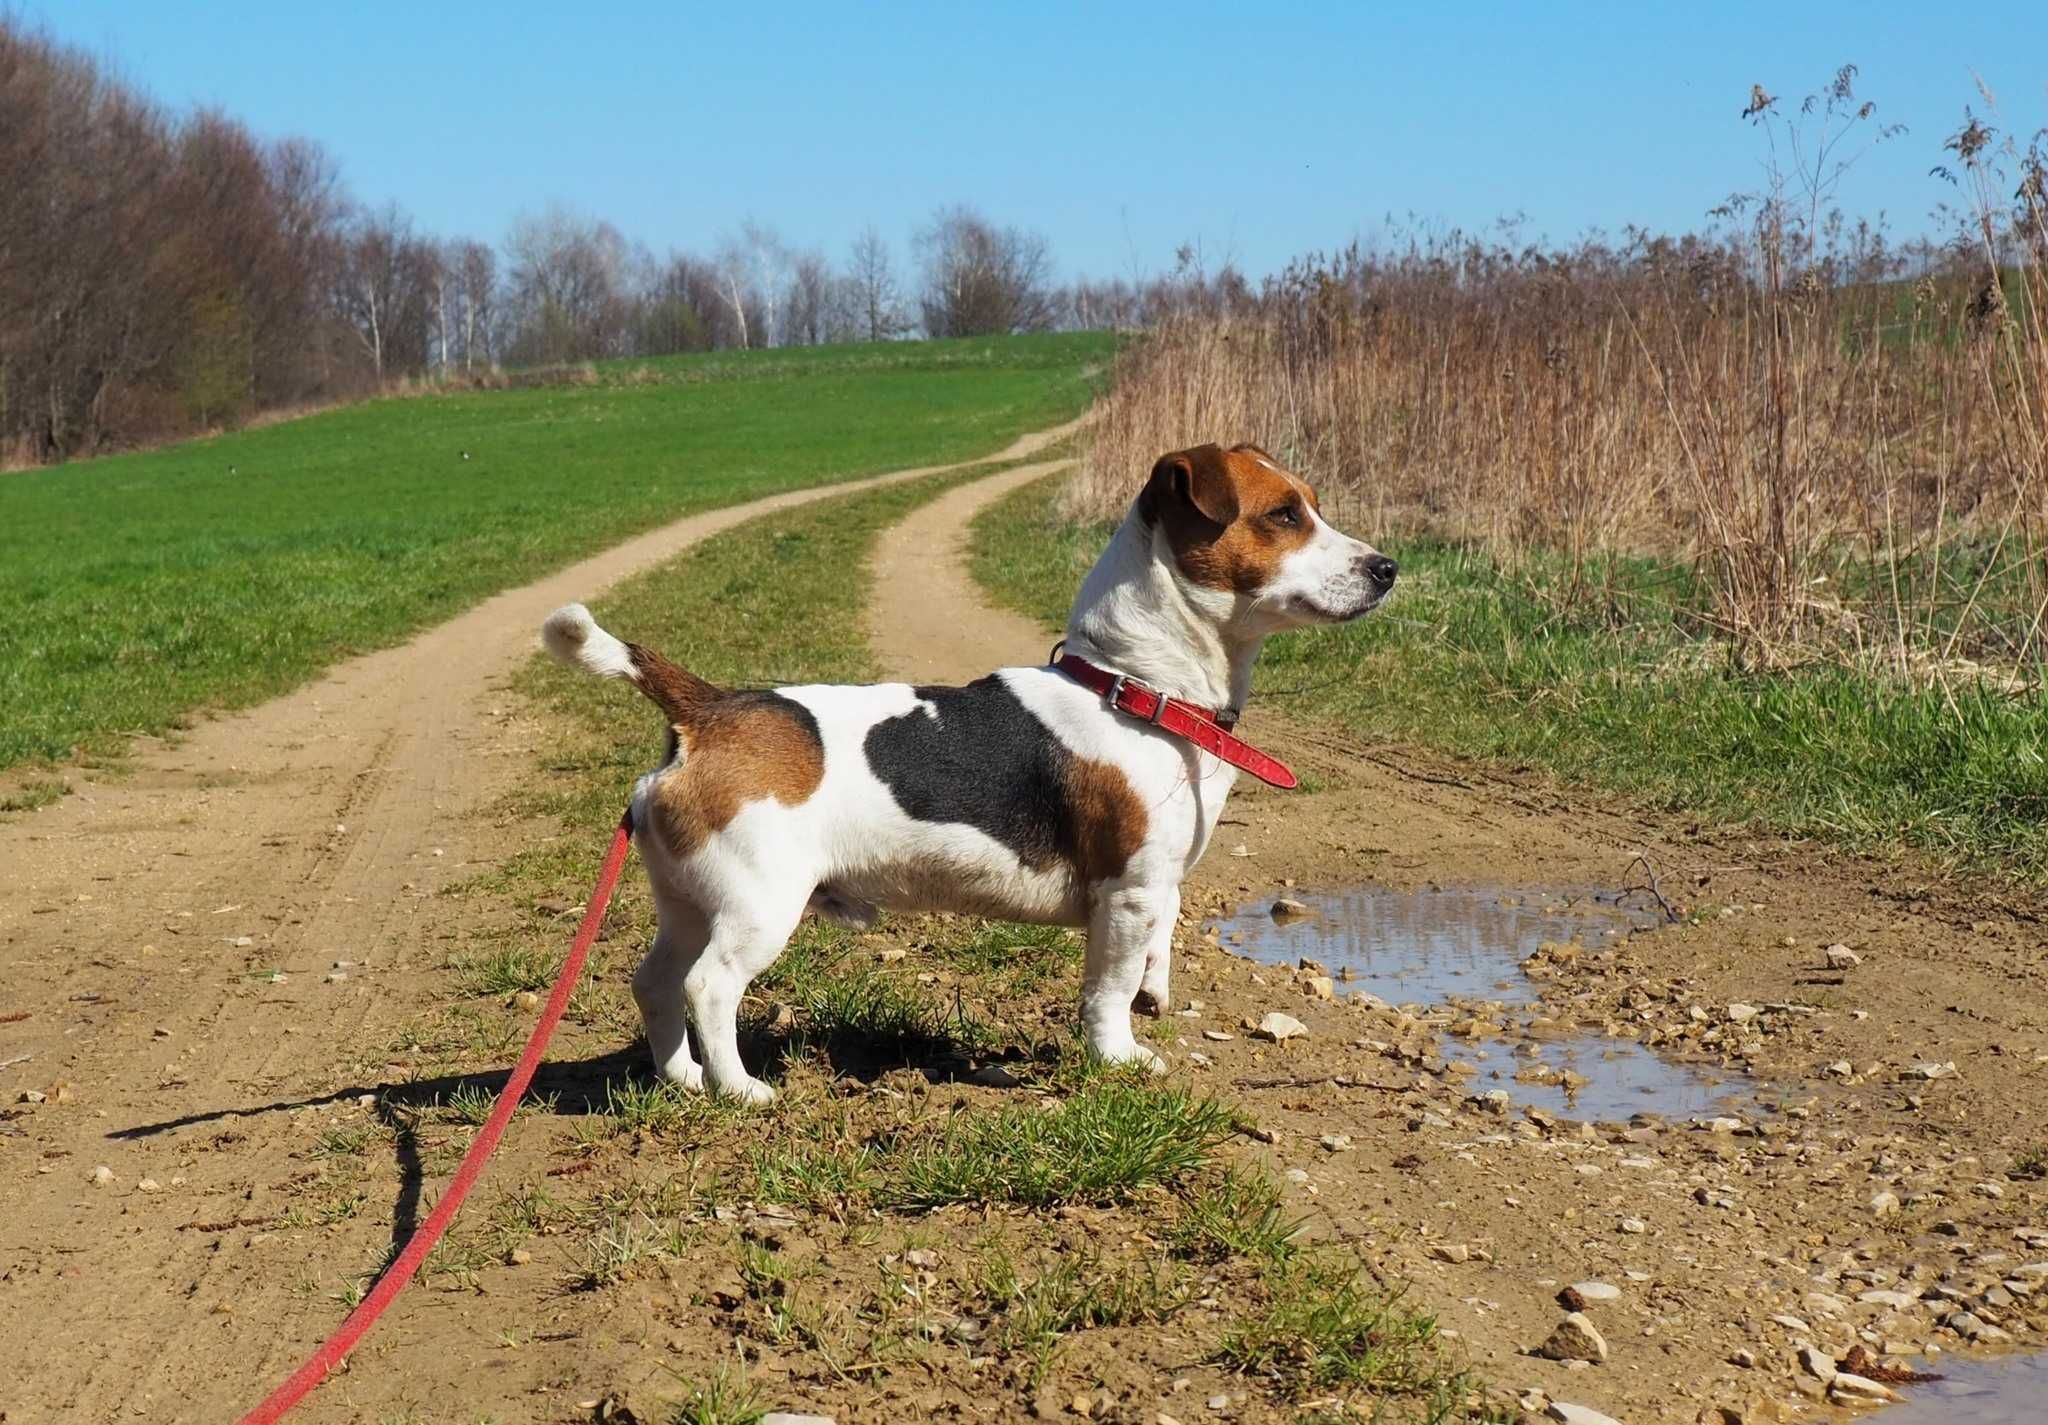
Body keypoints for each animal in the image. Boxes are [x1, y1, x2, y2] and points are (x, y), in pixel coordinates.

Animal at [548, 446, 1392, 1105]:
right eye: (1283, 515)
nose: (1389, 567)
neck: (1139, 688)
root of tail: (710, 708)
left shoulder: (1159, 885)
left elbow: (1157, 952)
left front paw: (1155, 995)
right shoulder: (1128, 892)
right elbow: (1110, 988)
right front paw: (1119, 1057)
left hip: (689, 900)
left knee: (655, 982)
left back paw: (683, 1076)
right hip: (759, 906)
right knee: (709, 987)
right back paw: (739, 1087)